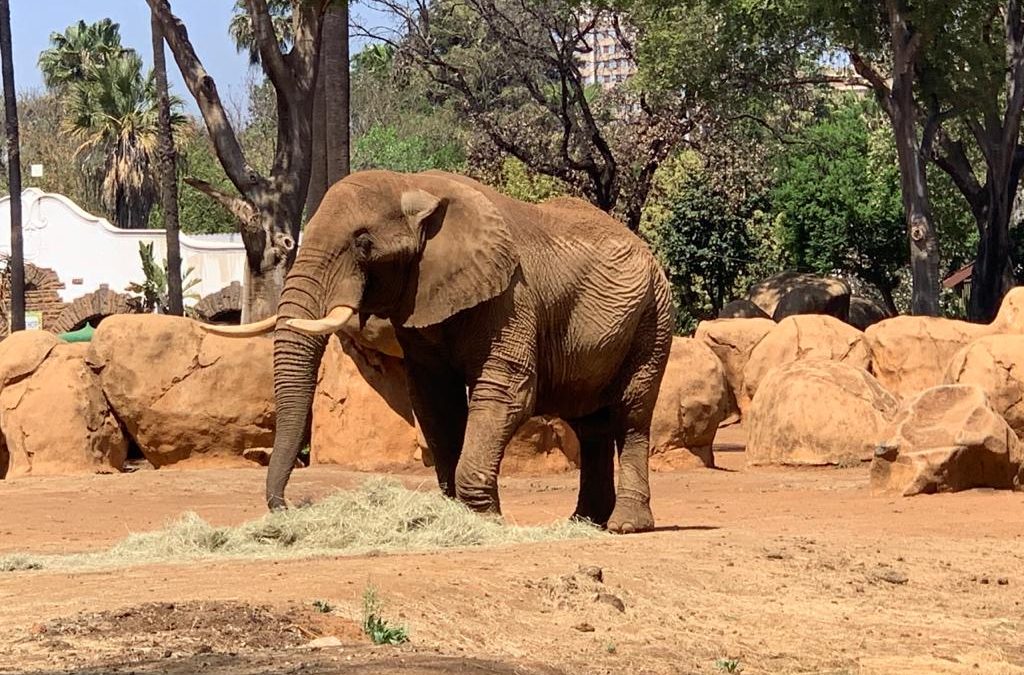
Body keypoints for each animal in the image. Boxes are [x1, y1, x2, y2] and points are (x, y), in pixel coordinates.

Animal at [204, 170, 673, 533]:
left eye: (363, 244)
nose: (287, 509)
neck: (412, 185)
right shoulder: (421, 301)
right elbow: (435, 401)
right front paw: (459, 517)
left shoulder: (511, 297)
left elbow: (505, 393)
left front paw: (484, 522)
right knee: (590, 424)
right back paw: (583, 523)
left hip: (653, 317)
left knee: (630, 416)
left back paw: (625, 525)